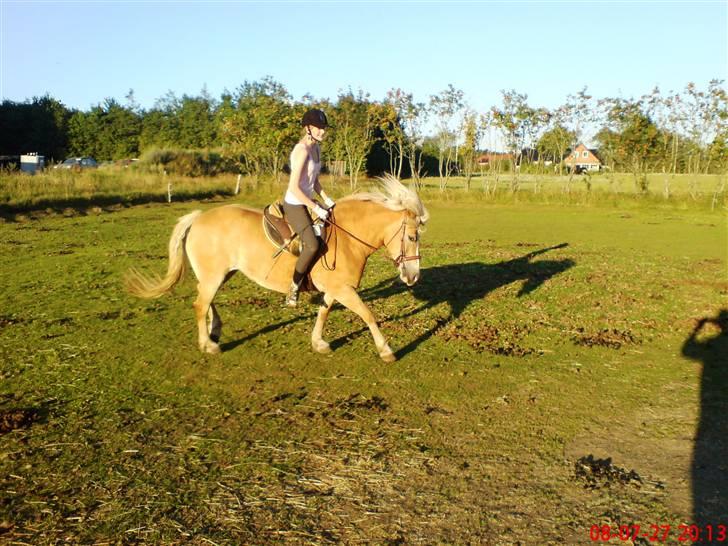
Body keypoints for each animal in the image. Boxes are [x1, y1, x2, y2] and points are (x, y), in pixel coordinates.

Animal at [125, 175, 430, 362]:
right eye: (412, 237)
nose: (413, 276)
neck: (346, 238)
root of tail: (198, 217)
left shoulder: (335, 288)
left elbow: (324, 312)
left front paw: (319, 343)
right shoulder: (343, 289)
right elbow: (368, 315)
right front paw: (386, 350)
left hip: (221, 273)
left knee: (205, 299)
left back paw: (215, 331)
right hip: (214, 275)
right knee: (201, 304)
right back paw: (208, 344)